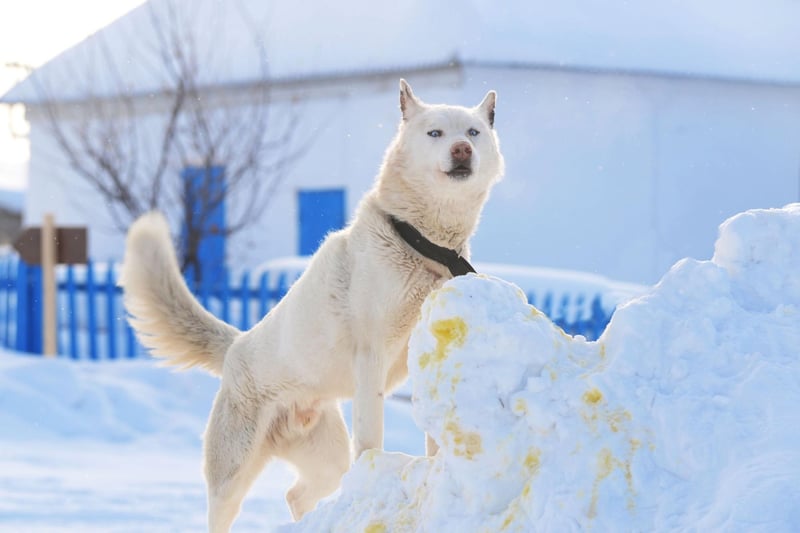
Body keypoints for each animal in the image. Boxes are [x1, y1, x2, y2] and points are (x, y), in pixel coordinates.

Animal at [122, 80, 504, 532]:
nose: (462, 150)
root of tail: (236, 345)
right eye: (435, 133)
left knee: (296, 494)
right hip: (233, 475)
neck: (423, 243)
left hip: (326, 460)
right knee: (226, 510)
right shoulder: (371, 354)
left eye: (473, 132)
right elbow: (371, 437)